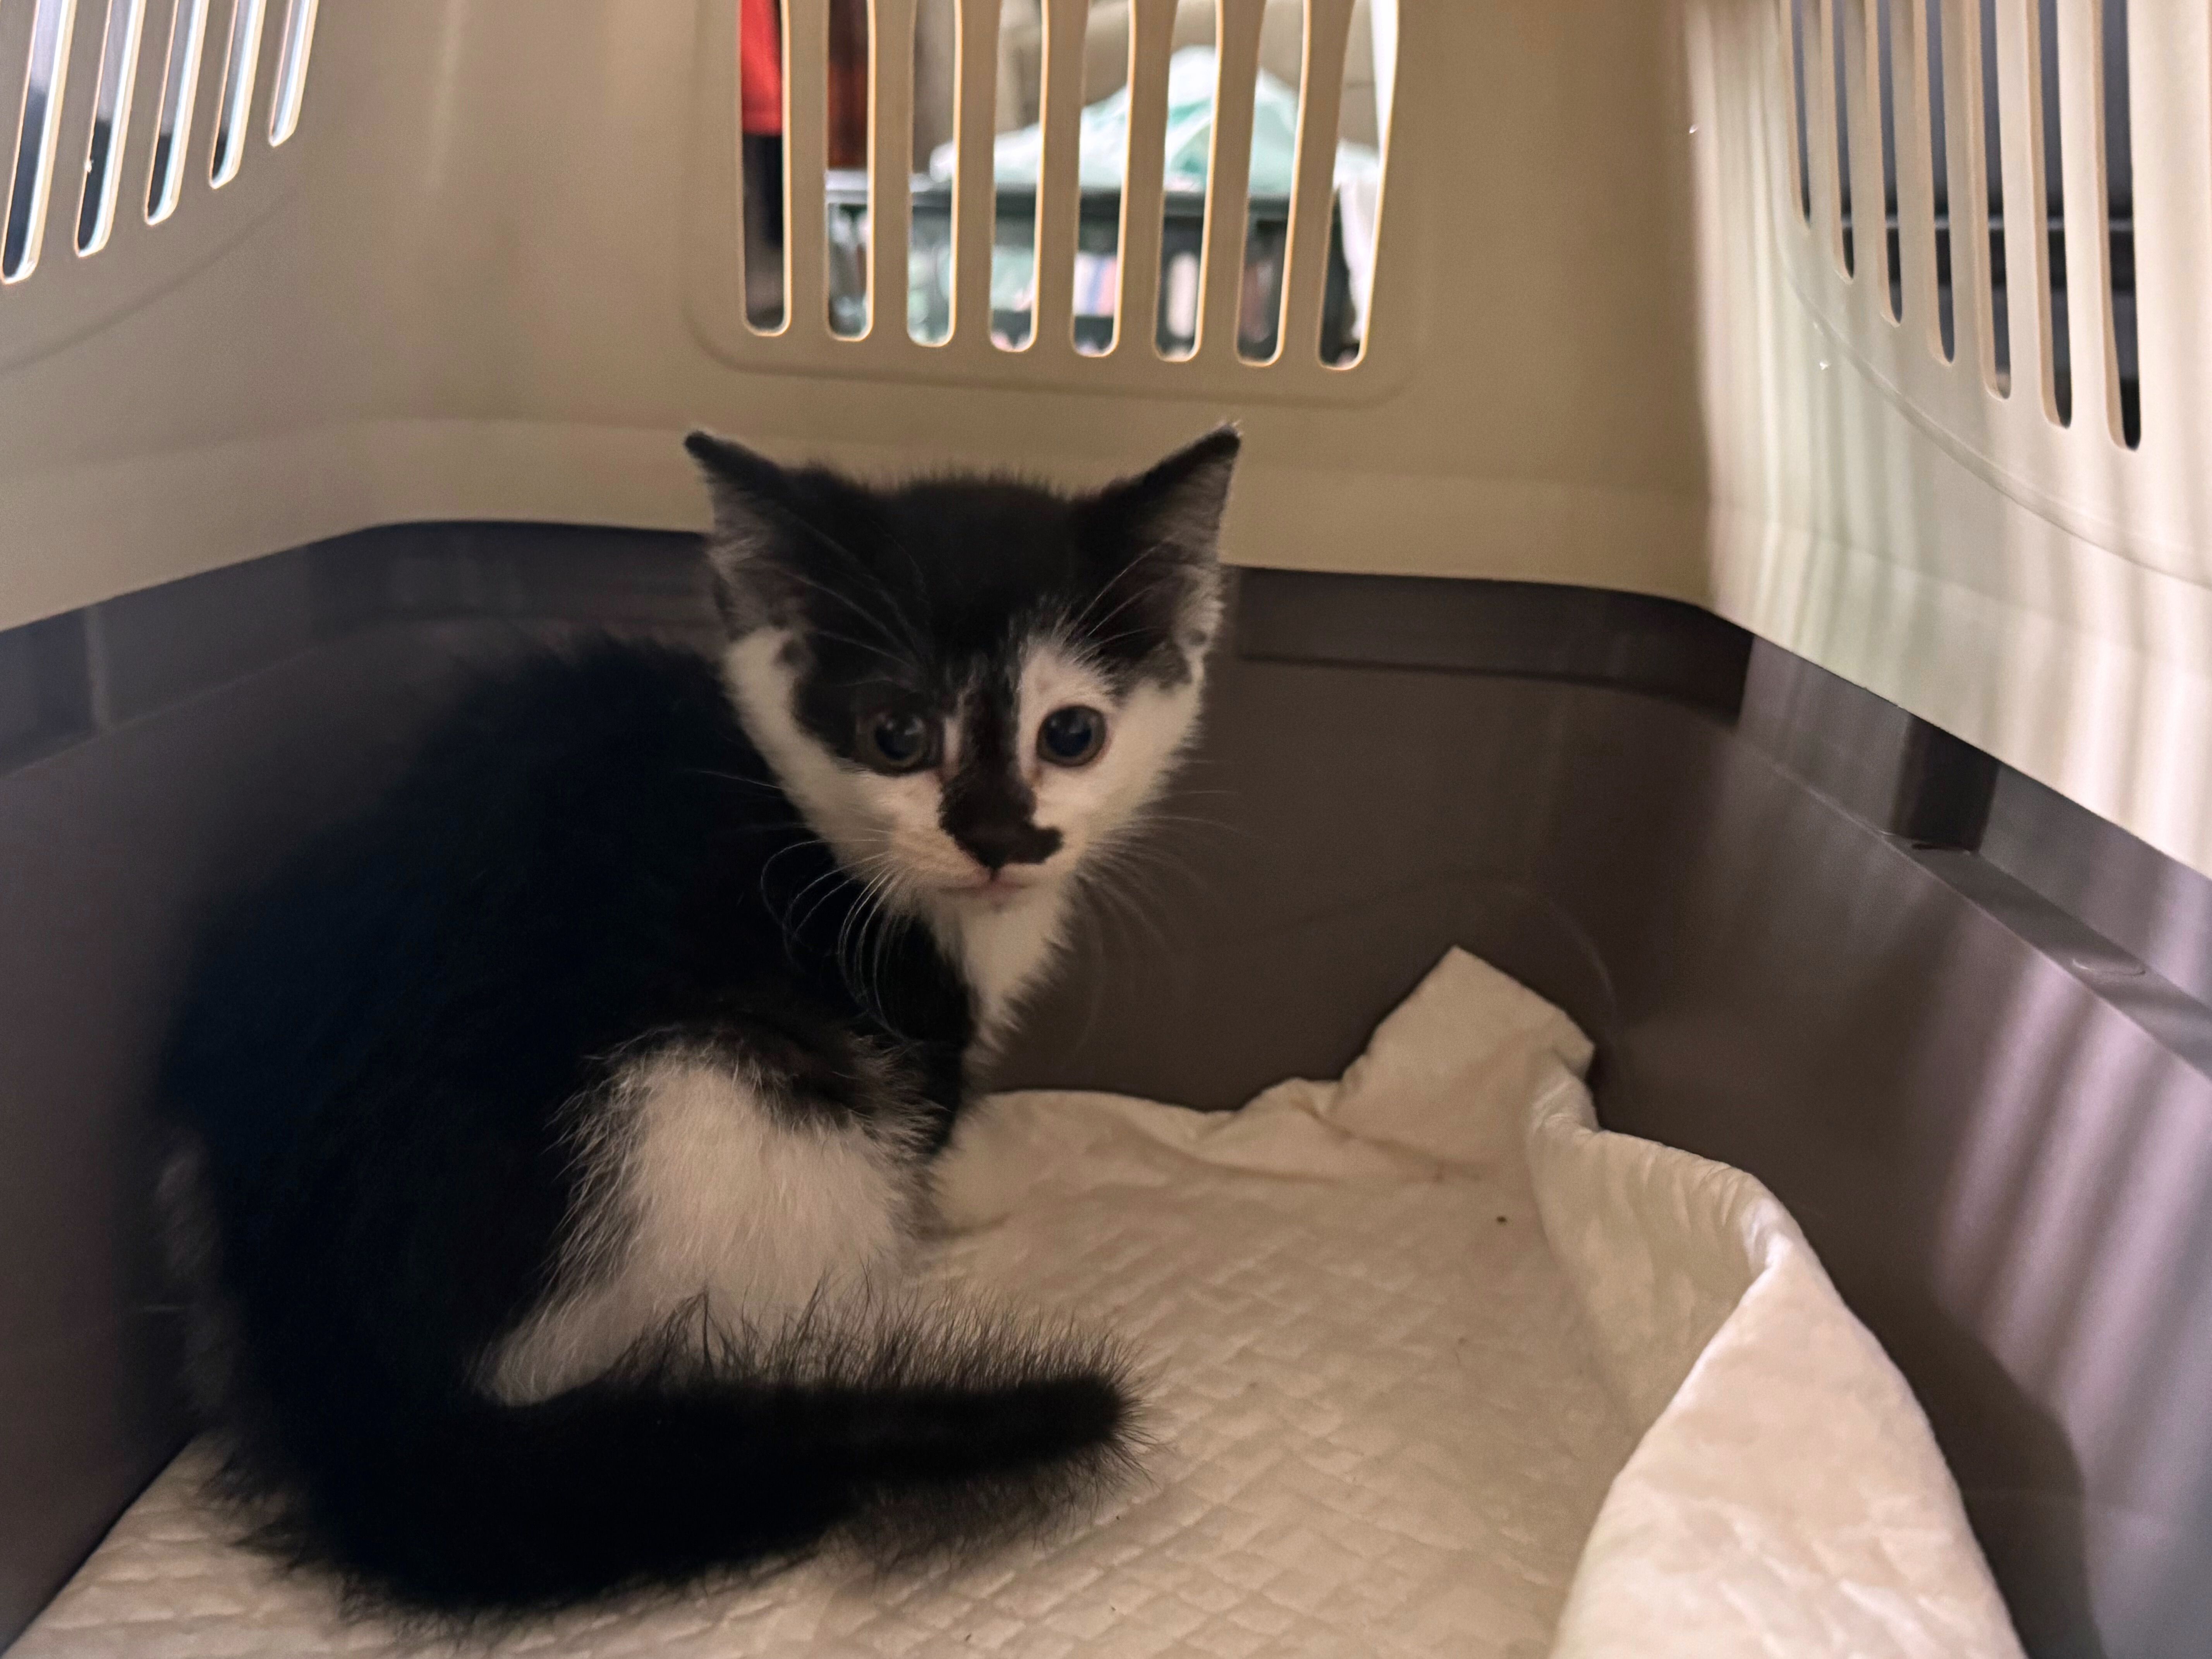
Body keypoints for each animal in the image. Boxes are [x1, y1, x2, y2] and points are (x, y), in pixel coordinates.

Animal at [158, 426, 1240, 1616]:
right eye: (897, 734)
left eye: (1075, 733)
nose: (1002, 839)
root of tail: (353, 1367)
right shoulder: (900, 1005)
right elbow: (936, 1118)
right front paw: (985, 1173)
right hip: (726, 1098)